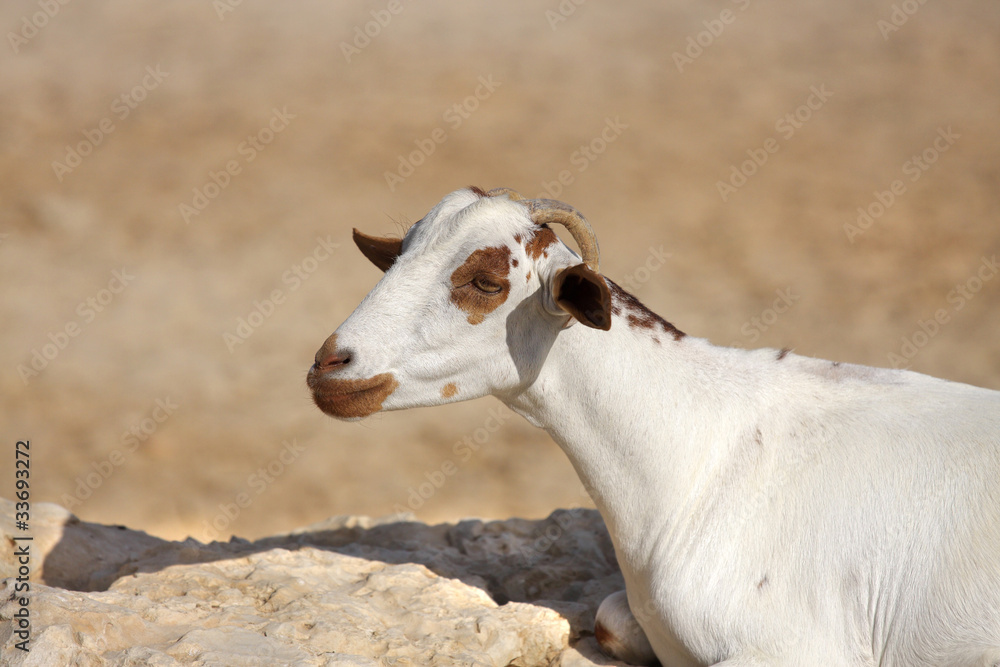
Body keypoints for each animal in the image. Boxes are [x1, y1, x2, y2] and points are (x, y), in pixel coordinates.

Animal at [306, 187, 1000, 667]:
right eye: (397, 258)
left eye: (485, 280)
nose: (330, 365)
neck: (701, 455)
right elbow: (610, 619)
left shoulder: (801, 648)